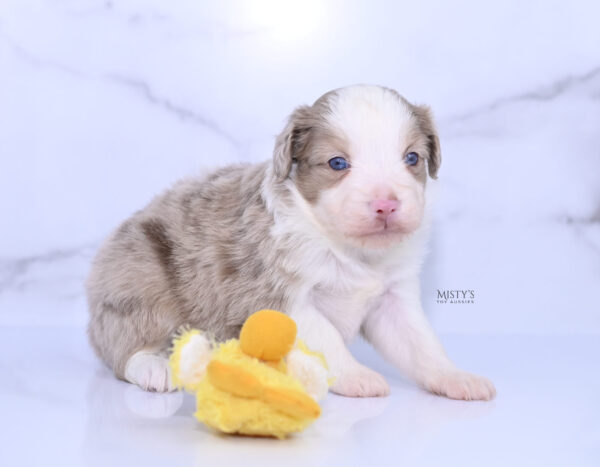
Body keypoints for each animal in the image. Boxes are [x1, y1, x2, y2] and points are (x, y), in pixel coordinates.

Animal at [85, 86, 496, 400]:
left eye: (412, 157)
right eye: (337, 163)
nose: (387, 204)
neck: (348, 249)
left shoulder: (393, 297)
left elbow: (420, 344)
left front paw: (455, 377)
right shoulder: (281, 297)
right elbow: (328, 339)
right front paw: (356, 375)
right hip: (138, 283)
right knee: (124, 347)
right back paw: (154, 367)